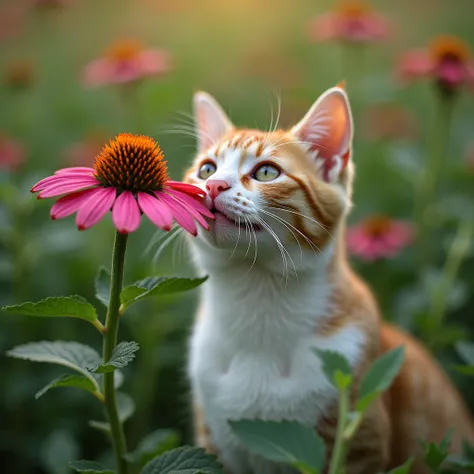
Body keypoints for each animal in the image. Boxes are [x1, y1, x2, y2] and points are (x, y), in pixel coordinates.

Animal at [182, 86, 474, 474]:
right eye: (207, 169)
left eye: (266, 172)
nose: (214, 185)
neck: (258, 299)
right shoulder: (214, 442)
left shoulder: (358, 439)